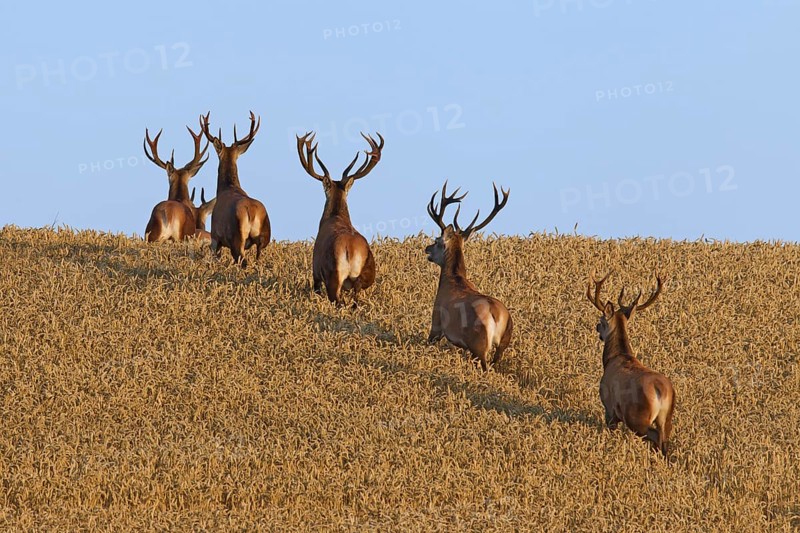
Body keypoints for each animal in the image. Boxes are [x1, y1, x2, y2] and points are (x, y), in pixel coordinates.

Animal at [199, 111, 270, 267]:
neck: (227, 187)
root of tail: (252, 212)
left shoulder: (215, 236)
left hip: (236, 238)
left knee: (243, 261)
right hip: (264, 237)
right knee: (258, 259)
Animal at [295, 131, 384, 306]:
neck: (335, 216)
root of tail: (352, 248)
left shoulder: (316, 270)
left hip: (333, 274)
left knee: (337, 300)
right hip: (369, 270)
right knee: (357, 293)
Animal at [425, 181, 512, 371]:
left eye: (436, 241)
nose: (427, 249)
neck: (452, 280)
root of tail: (497, 315)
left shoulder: (436, 322)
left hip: (478, 343)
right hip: (504, 340)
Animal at [586, 272, 675, 458]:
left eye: (602, 320)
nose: (597, 327)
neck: (614, 358)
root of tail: (661, 391)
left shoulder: (609, 407)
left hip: (637, 416)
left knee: (655, 436)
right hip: (667, 417)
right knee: (664, 440)